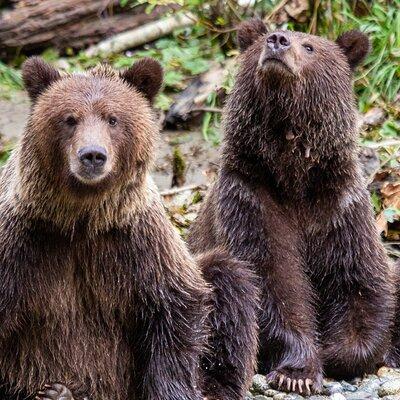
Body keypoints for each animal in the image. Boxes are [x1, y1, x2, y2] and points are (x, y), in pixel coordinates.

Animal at [0, 57, 260, 398]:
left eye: (113, 119)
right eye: (69, 119)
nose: (92, 155)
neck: (81, 218)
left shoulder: (137, 240)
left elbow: (176, 304)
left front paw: (171, 390)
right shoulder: (23, 242)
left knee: (228, 277)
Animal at [189, 18, 396, 394]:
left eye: (310, 46)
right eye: (261, 42)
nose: (278, 41)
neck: (293, 177)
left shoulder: (339, 208)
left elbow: (359, 281)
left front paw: (338, 353)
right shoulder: (251, 201)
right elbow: (273, 280)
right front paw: (296, 372)